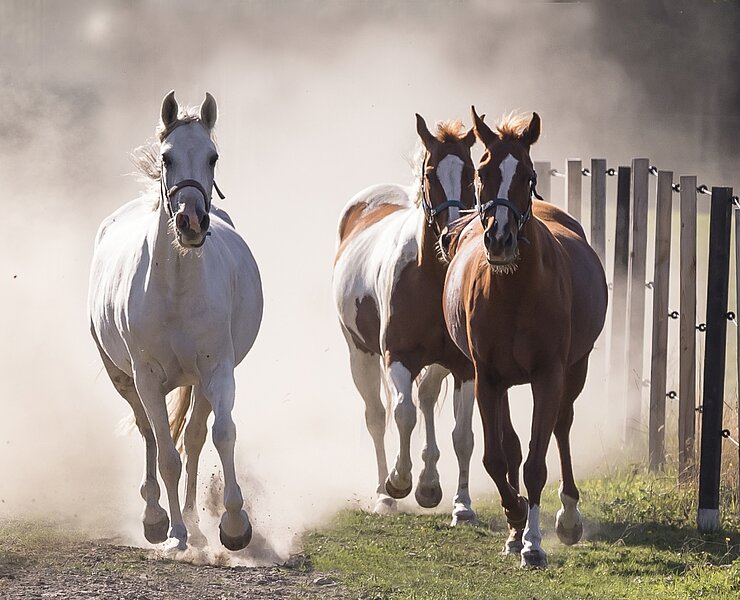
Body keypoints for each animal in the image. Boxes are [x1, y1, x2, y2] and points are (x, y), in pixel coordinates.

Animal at [88, 91, 263, 552]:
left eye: (212, 157)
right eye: (166, 157)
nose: (191, 221)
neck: (177, 290)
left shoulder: (217, 369)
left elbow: (221, 434)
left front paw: (233, 525)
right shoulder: (146, 376)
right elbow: (165, 452)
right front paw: (175, 535)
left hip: (197, 381)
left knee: (195, 436)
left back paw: (196, 522)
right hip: (125, 379)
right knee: (151, 434)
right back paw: (157, 518)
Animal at [333, 115, 522, 525]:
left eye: (470, 173)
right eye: (432, 173)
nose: (452, 233)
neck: (430, 276)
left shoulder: (465, 367)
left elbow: (462, 435)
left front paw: (460, 504)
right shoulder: (398, 357)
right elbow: (403, 415)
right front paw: (398, 482)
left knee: (426, 398)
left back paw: (430, 484)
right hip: (360, 355)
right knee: (378, 416)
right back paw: (384, 494)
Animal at [441, 108, 607, 567]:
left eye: (528, 175)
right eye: (482, 171)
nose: (499, 239)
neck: (514, 291)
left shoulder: (549, 375)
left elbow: (536, 461)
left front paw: (534, 542)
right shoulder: (487, 377)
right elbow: (497, 457)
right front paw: (515, 521)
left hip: (576, 369)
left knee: (562, 427)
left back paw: (568, 516)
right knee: (512, 444)